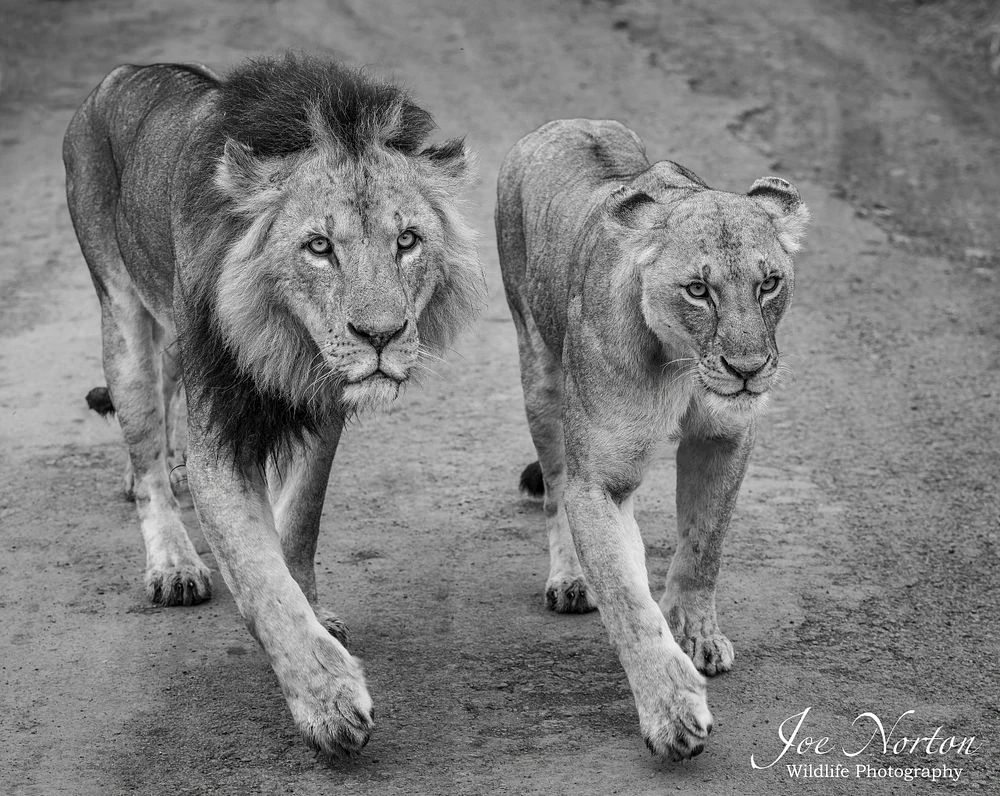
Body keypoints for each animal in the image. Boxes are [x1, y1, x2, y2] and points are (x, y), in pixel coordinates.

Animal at [64, 52, 483, 757]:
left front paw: (316, 612)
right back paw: (172, 559)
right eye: (318, 246)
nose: (380, 336)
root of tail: (125, 71)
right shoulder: (220, 432)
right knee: (145, 450)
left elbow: (300, 523)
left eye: (407, 241)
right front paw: (328, 702)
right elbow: (260, 579)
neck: (283, 342)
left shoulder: (325, 406)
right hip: (120, 315)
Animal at [495, 119, 808, 761]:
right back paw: (569, 579)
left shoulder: (724, 436)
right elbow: (626, 600)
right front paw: (671, 711)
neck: (681, 365)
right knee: (556, 486)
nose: (747, 370)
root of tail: (564, 123)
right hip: (539, 370)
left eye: (769, 284)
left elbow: (705, 544)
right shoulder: (601, 479)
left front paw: (695, 634)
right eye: (698, 290)